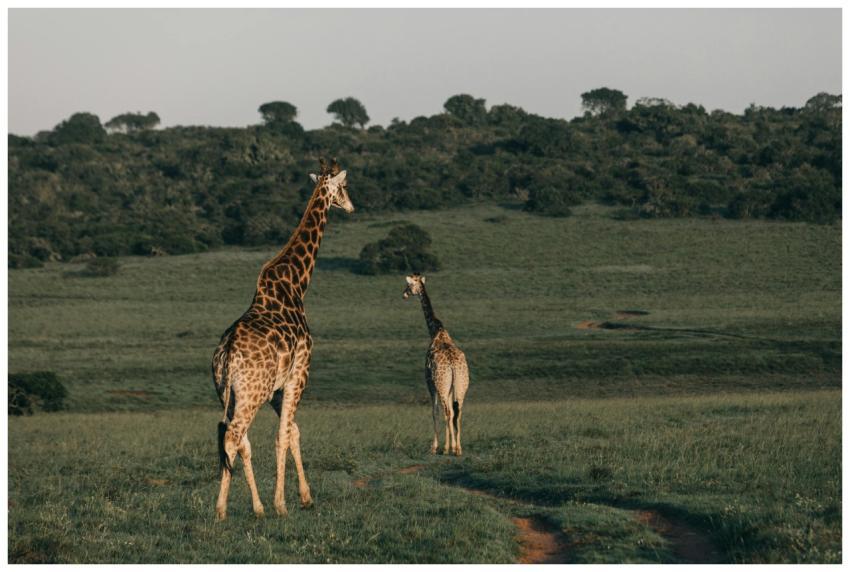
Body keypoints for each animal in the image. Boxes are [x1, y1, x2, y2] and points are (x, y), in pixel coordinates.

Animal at [211, 158, 354, 520]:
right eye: (345, 187)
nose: (351, 206)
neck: (296, 284)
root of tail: (227, 353)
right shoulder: (298, 373)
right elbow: (282, 436)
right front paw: (282, 503)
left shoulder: (277, 387)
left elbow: (293, 431)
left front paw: (304, 497)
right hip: (252, 393)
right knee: (234, 435)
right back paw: (224, 509)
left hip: (229, 393)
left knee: (237, 438)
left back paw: (252, 507)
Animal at [403, 274, 469, 456]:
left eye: (409, 285)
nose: (403, 294)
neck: (435, 331)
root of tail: (453, 366)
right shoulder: (449, 387)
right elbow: (451, 413)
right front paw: (451, 445)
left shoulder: (430, 382)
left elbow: (434, 411)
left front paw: (435, 447)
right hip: (461, 385)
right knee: (458, 412)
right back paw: (458, 448)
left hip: (442, 385)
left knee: (447, 411)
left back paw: (448, 448)